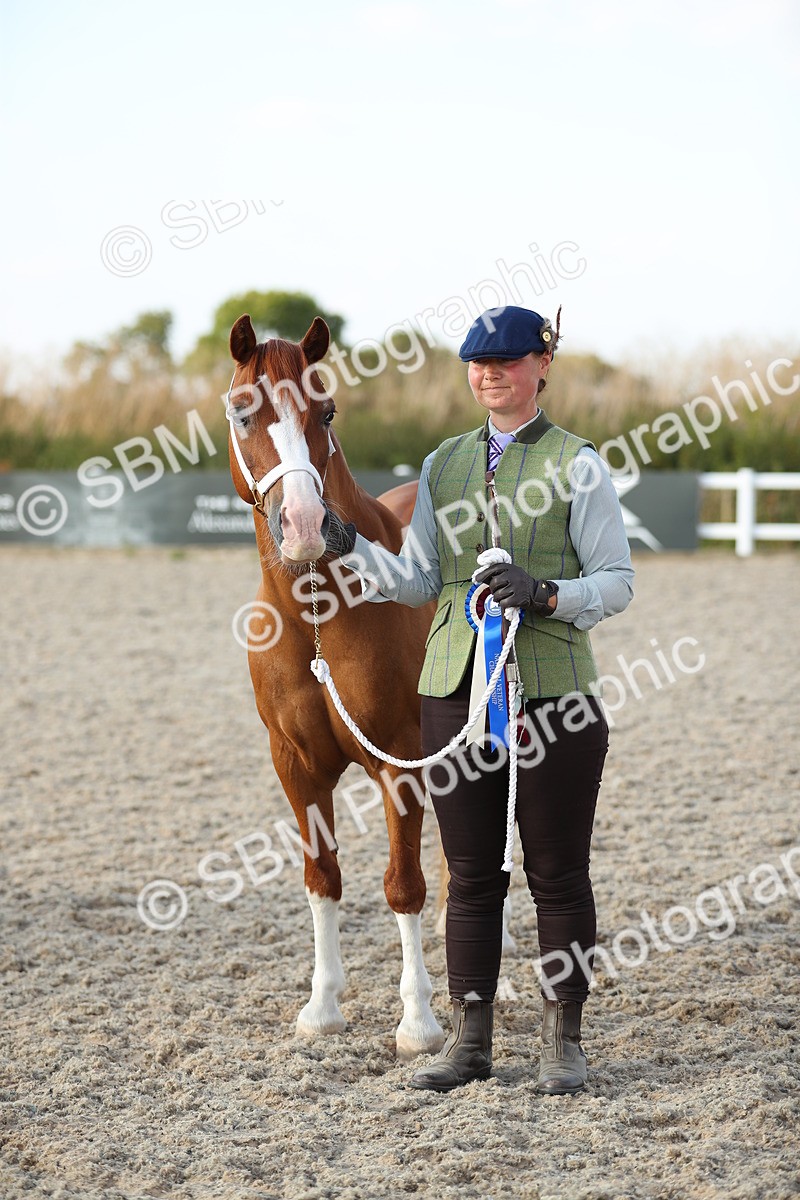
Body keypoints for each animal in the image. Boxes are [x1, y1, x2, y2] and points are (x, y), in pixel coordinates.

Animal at [225, 313, 445, 1059]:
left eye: (326, 412)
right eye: (242, 411)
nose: (304, 527)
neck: (322, 615)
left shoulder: (399, 763)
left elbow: (403, 885)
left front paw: (419, 1022)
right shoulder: (295, 766)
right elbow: (322, 878)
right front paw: (322, 1007)